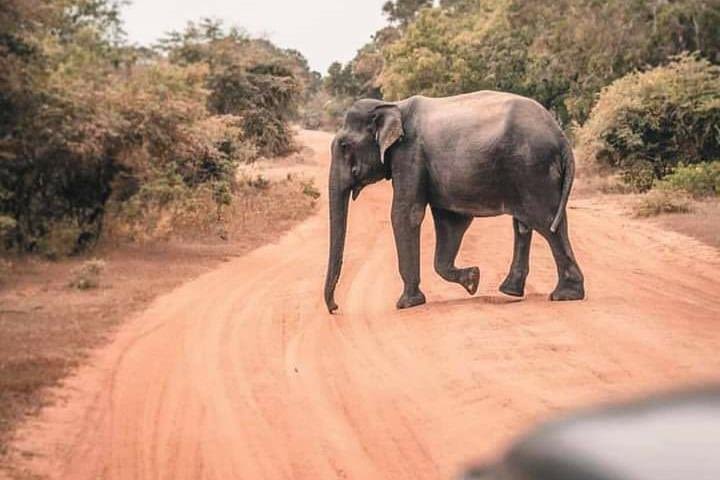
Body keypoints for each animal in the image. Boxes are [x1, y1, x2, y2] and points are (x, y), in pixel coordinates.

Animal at [324, 91, 584, 314]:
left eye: (345, 146)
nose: (335, 308)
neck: (392, 105)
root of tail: (561, 137)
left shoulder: (409, 155)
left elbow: (405, 214)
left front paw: (406, 304)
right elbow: (450, 222)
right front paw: (473, 280)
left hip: (533, 169)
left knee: (546, 223)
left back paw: (565, 295)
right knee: (527, 224)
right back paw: (512, 291)